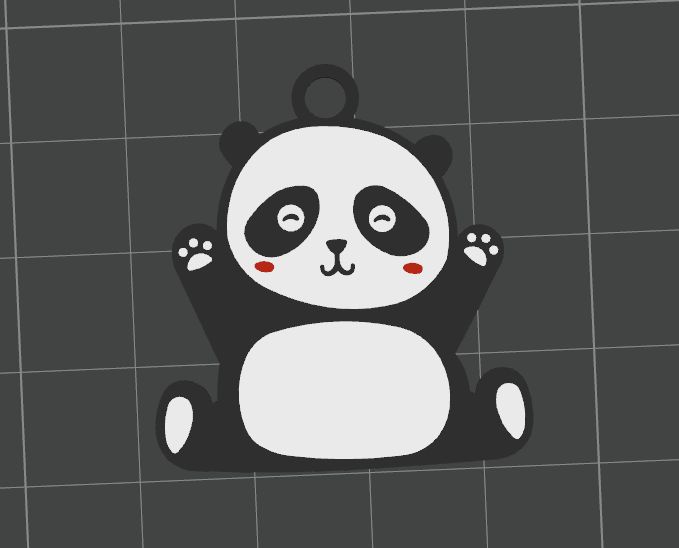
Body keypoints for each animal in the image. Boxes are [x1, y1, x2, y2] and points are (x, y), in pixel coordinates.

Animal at [156, 64, 533, 472]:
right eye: (290, 216)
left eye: (382, 218)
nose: (337, 244)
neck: (334, 305)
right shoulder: (250, 314)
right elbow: (225, 313)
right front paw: (198, 251)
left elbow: (449, 307)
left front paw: (478, 248)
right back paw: (181, 422)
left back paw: (507, 408)